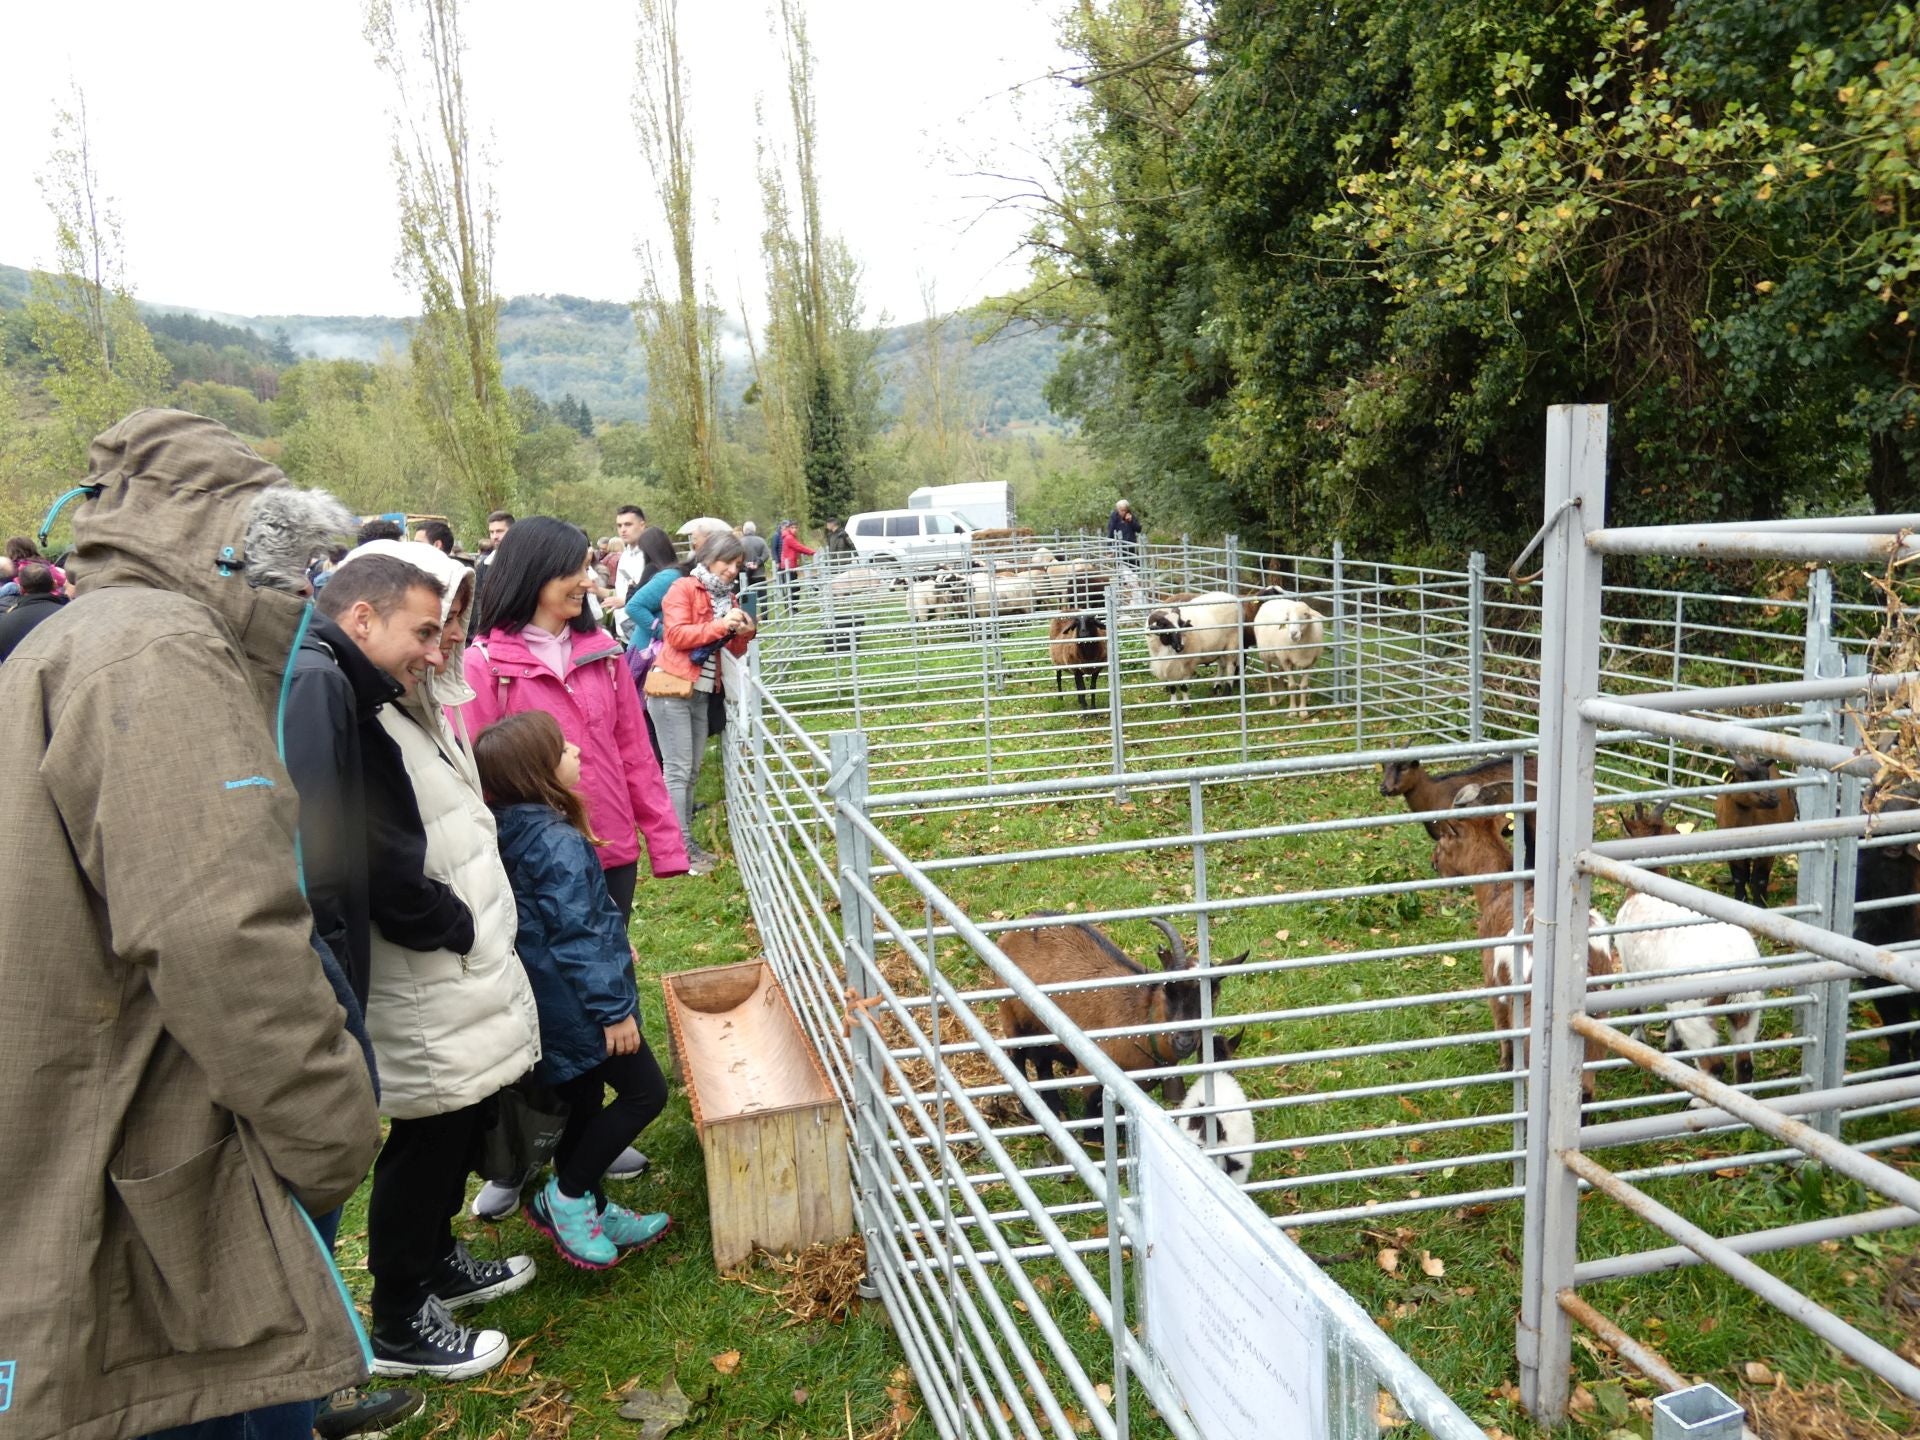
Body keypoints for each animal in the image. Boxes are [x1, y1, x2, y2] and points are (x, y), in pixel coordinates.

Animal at [998, 913, 1251, 1128]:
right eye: (1168, 989)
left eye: (1213, 995)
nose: (1184, 1041)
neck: (1141, 1020)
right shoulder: (1091, 1076)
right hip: (1010, 1018)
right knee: (1018, 1059)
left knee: (1042, 1064)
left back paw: (1055, 1109)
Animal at [1436, 814, 1612, 1105]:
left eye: (1442, 841)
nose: (1433, 862)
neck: (1500, 891)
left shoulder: (1493, 983)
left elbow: (1502, 1027)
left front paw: (1505, 1064)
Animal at [1712, 760, 1797, 906]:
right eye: (1746, 778)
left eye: (1767, 777)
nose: (1774, 798)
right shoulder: (1731, 851)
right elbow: (1739, 877)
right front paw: (1740, 899)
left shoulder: (1767, 851)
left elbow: (1760, 879)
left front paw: (1760, 904)